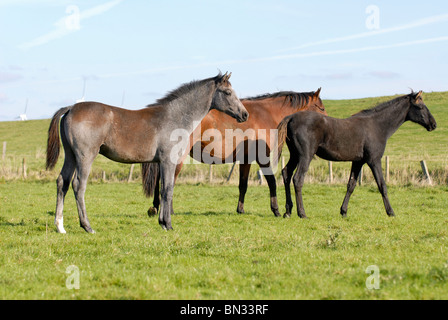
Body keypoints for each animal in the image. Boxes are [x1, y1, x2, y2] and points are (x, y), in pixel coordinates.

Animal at [45, 72, 248, 232]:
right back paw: (87, 226)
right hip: (85, 157)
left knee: (62, 182)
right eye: (228, 92)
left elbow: (163, 189)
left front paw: (162, 221)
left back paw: (60, 226)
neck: (174, 117)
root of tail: (71, 108)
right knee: (78, 185)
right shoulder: (168, 161)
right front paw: (168, 224)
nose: (244, 114)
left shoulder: (161, 163)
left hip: (70, 157)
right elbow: (167, 190)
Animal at [144, 89, 326, 216]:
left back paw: (155, 206)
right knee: (168, 180)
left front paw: (240, 209)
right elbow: (272, 182)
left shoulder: (246, 160)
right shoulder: (262, 158)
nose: (326, 121)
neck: (266, 113)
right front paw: (275, 209)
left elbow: (243, 185)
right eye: (322, 107)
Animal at [278, 91, 436, 219]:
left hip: (295, 155)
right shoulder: (374, 161)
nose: (433, 124)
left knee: (286, 174)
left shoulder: (358, 162)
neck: (376, 126)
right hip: (305, 156)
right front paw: (390, 212)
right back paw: (302, 213)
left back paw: (287, 211)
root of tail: (291, 117)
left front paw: (343, 211)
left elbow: (351, 185)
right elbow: (382, 185)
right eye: (421, 107)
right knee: (297, 179)